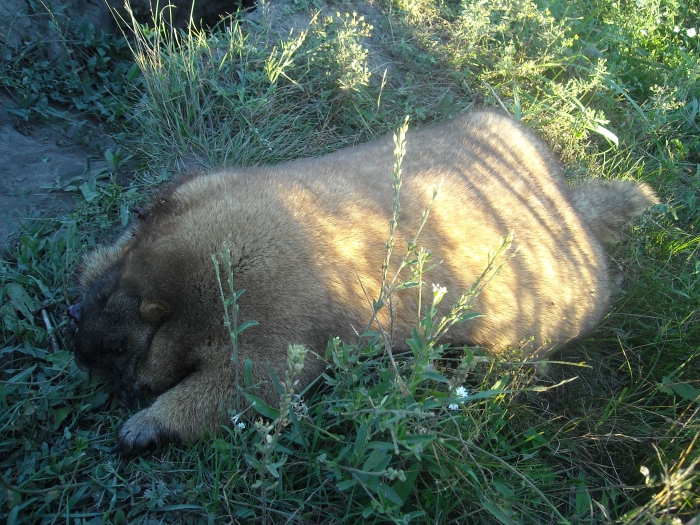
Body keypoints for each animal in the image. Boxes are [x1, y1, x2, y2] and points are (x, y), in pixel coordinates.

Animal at [68, 111, 652, 454]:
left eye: (123, 348)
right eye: (102, 295)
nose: (76, 348)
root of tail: (572, 205)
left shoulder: (272, 323)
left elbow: (247, 385)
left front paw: (140, 427)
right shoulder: (200, 189)